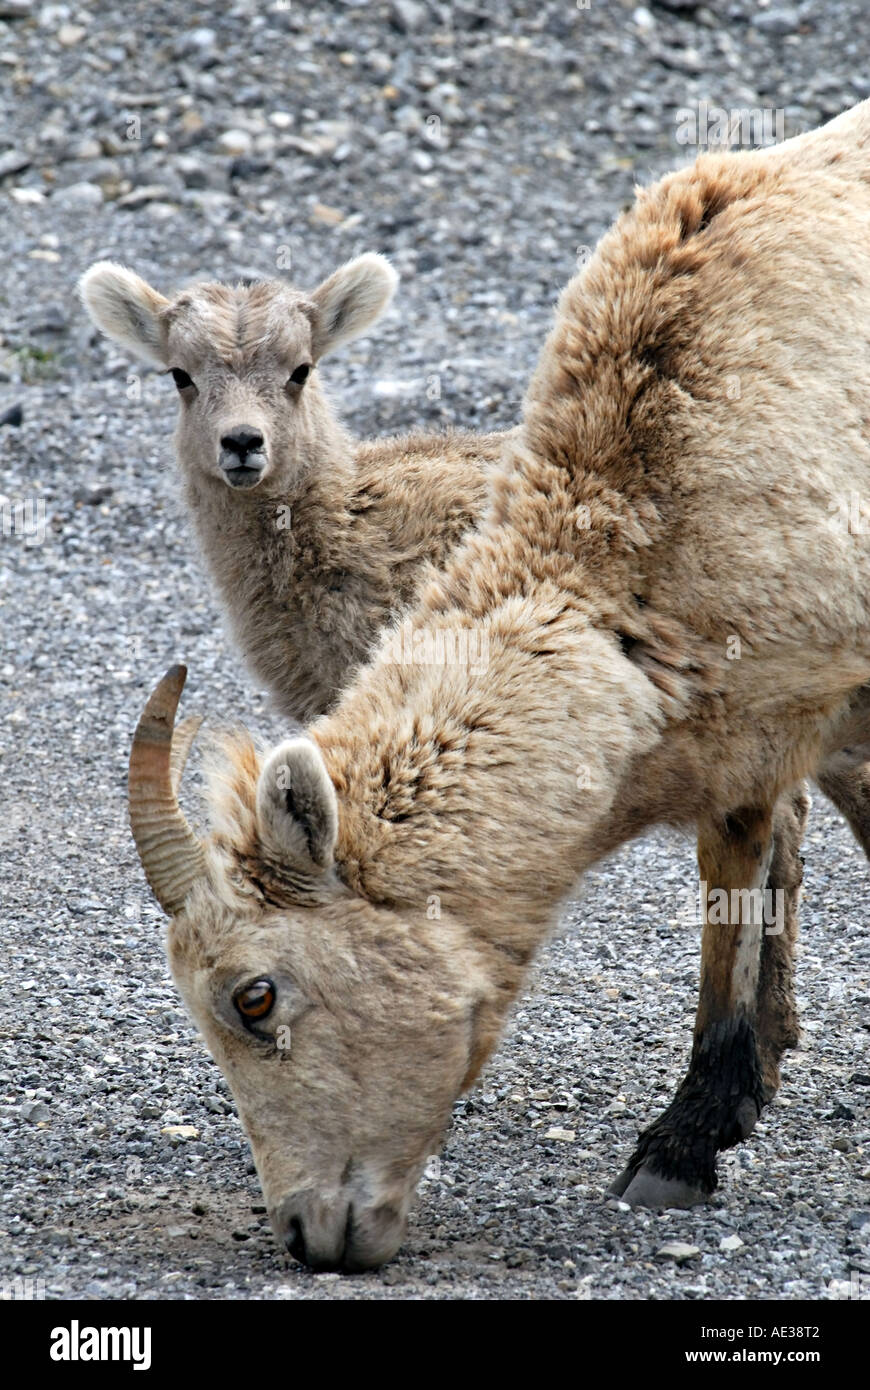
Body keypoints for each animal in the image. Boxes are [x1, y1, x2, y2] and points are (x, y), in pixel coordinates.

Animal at [128, 100, 867, 1273]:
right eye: (180, 374)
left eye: (254, 996)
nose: (310, 1232)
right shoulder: (749, 735)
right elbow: (741, 891)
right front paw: (697, 1135)